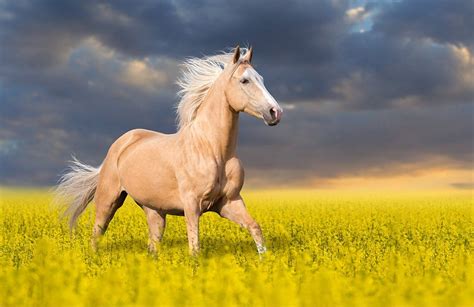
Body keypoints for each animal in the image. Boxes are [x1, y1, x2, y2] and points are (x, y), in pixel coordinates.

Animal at [57, 46, 284, 255]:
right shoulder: (192, 205)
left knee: (153, 245)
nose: (275, 112)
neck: (213, 150)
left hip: (154, 211)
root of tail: (120, 145)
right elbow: (195, 248)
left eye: (261, 79)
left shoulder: (229, 202)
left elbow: (255, 228)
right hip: (108, 200)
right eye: (244, 81)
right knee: (97, 233)